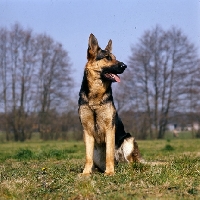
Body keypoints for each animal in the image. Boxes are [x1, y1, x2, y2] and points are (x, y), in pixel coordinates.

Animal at [78, 33, 141, 175]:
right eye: (107, 58)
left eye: (115, 58)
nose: (125, 66)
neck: (95, 97)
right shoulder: (87, 132)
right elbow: (88, 156)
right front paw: (86, 173)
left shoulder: (109, 129)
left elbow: (109, 153)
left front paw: (110, 172)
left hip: (128, 140)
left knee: (131, 162)